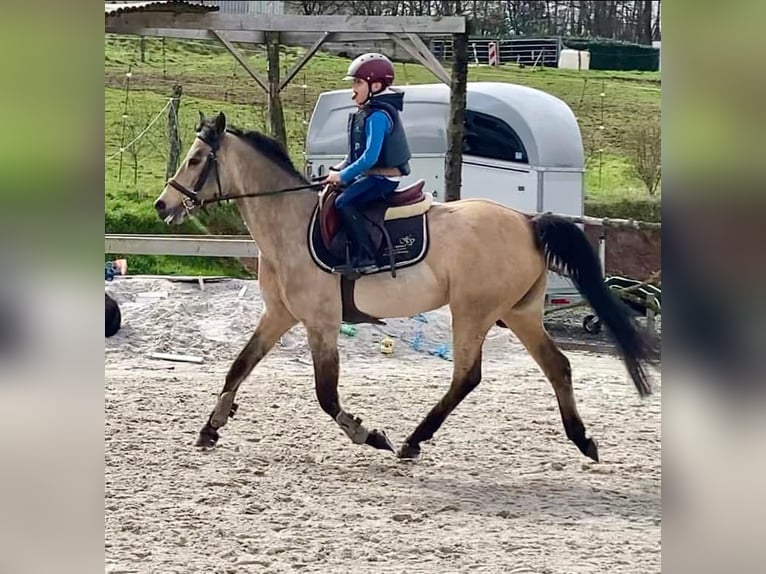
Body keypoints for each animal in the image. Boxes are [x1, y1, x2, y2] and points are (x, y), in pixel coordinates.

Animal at [153, 112, 657, 462]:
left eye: (195, 159)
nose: (162, 205)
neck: (290, 225)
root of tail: (528, 221)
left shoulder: (320, 322)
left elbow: (326, 394)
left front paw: (369, 434)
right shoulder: (279, 315)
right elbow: (239, 366)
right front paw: (211, 426)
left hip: (473, 312)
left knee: (467, 376)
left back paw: (413, 440)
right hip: (518, 313)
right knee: (558, 366)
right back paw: (582, 439)